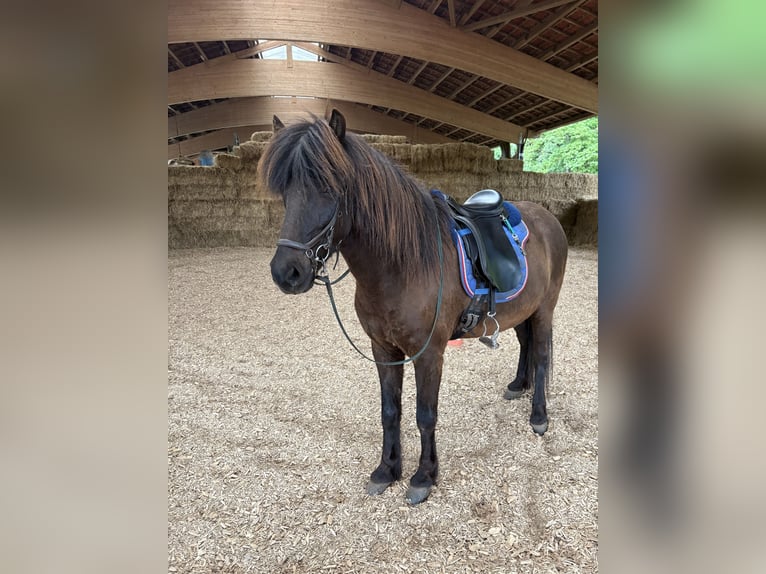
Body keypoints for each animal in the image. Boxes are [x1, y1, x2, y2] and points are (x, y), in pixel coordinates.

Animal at [260, 110, 568, 504]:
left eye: (330, 187)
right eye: (285, 191)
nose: (287, 272)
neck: (402, 265)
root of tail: (547, 217)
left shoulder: (429, 353)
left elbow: (425, 414)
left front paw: (424, 477)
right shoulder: (383, 349)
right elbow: (390, 411)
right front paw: (386, 470)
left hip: (545, 309)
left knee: (542, 355)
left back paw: (539, 416)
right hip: (521, 310)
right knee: (527, 345)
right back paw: (518, 385)